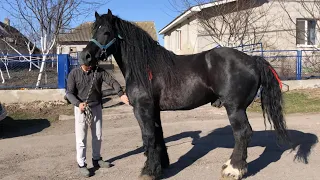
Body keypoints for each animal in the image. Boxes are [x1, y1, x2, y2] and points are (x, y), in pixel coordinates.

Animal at [80, 9, 290, 180]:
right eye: (94, 31)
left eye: (107, 32)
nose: (85, 57)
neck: (145, 67)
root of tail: (253, 59)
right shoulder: (154, 110)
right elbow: (158, 135)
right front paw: (161, 166)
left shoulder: (142, 109)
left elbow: (148, 137)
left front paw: (149, 171)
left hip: (235, 108)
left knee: (242, 133)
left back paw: (233, 170)